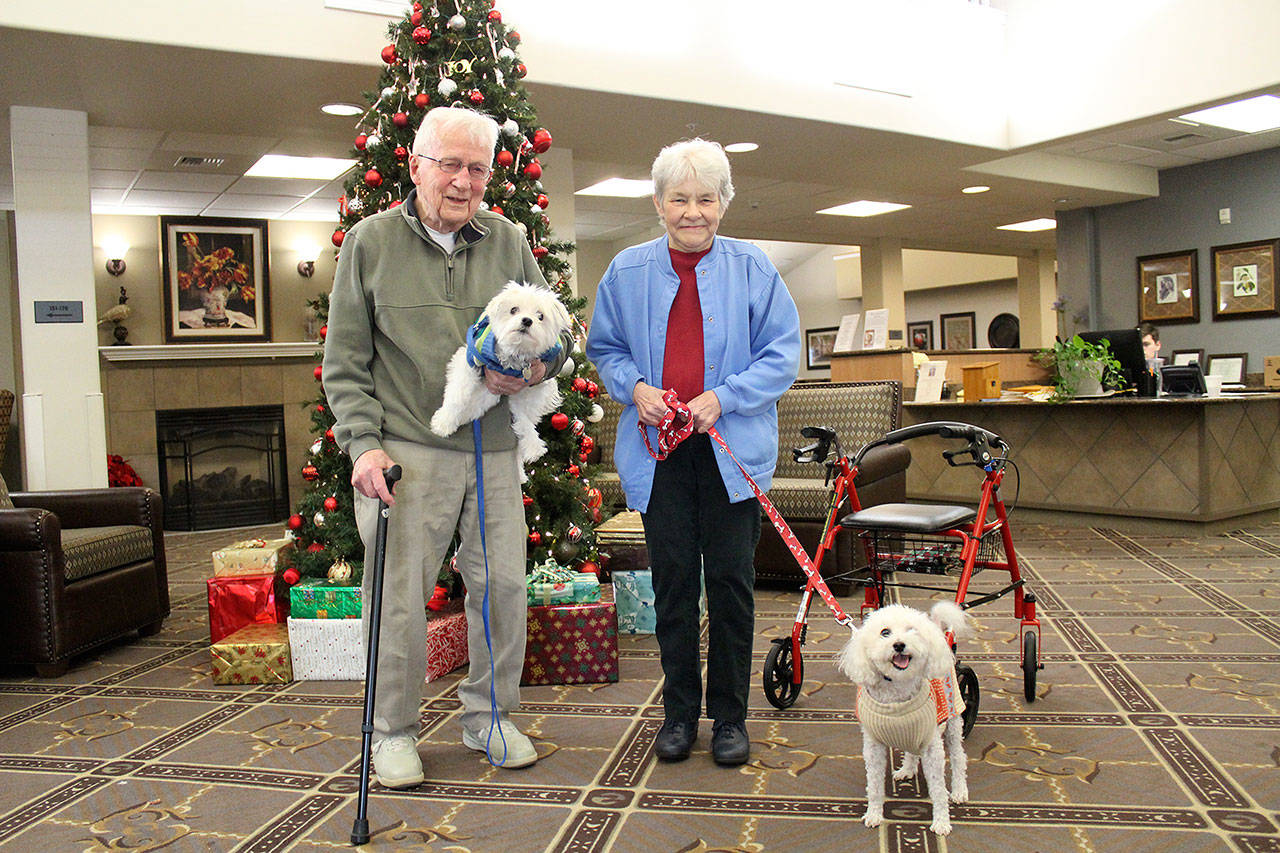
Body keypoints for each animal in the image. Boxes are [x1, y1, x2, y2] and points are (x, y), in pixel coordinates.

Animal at [430, 279, 570, 468]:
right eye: (513, 310)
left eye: (540, 316)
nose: (527, 321)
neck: (514, 355)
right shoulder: (469, 360)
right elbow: (457, 395)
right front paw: (443, 422)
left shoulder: (527, 384)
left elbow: (524, 419)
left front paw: (532, 443)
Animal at [839, 601, 967, 835]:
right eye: (885, 632)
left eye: (911, 630)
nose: (899, 645)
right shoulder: (873, 747)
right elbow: (874, 785)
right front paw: (874, 814)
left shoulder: (932, 747)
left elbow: (938, 789)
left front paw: (942, 821)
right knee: (911, 750)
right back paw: (907, 770)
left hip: (953, 719)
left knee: (958, 757)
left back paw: (960, 790)